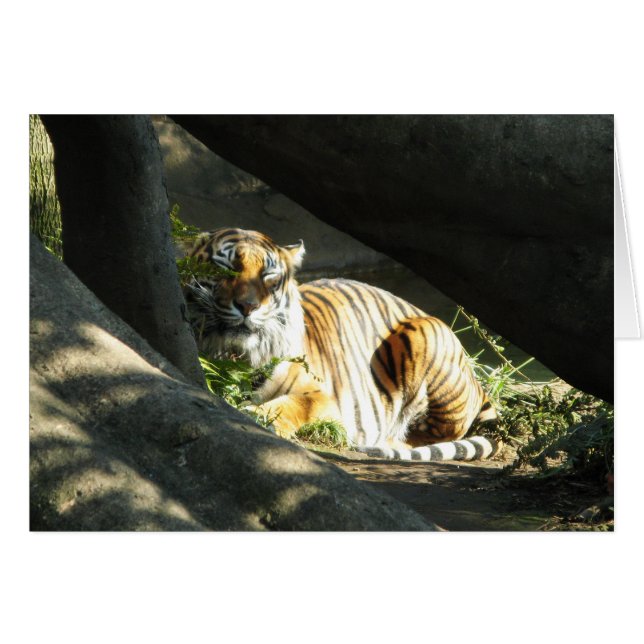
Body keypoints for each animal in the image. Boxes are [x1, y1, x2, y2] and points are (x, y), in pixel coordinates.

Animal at [183, 227, 498, 461]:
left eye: (268, 275)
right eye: (225, 268)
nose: (247, 306)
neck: (236, 354)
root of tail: (475, 378)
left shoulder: (323, 396)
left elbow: (292, 404)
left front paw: (257, 416)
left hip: (427, 336)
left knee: (435, 433)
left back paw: (387, 443)